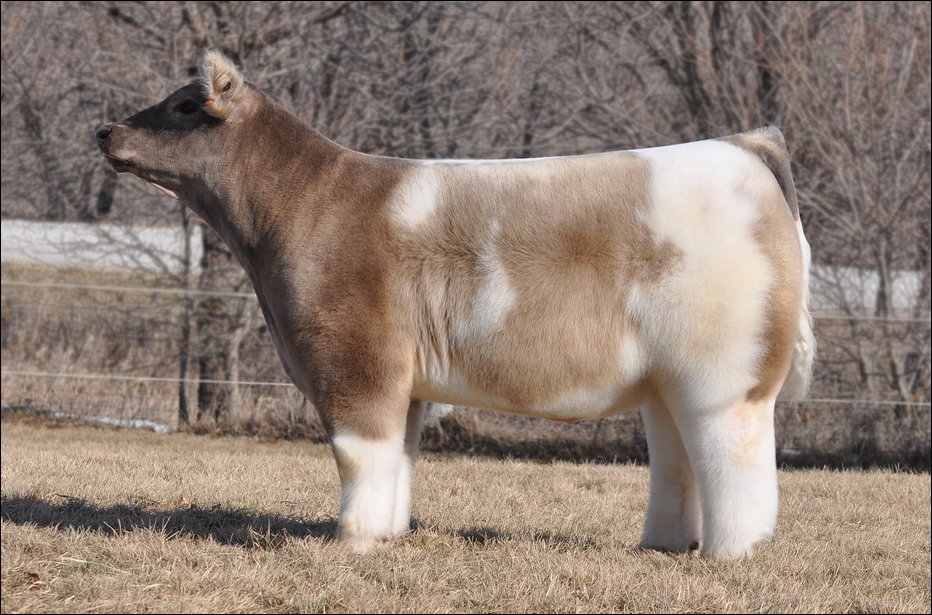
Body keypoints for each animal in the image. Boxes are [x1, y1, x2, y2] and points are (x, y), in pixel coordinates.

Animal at [96, 51, 815, 558]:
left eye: (186, 105)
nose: (105, 129)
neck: (304, 204)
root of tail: (741, 144)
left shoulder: (356, 359)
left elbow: (359, 450)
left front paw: (352, 539)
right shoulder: (406, 379)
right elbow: (400, 455)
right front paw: (386, 533)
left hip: (722, 372)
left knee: (732, 453)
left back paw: (732, 552)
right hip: (666, 378)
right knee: (676, 454)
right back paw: (665, 543)